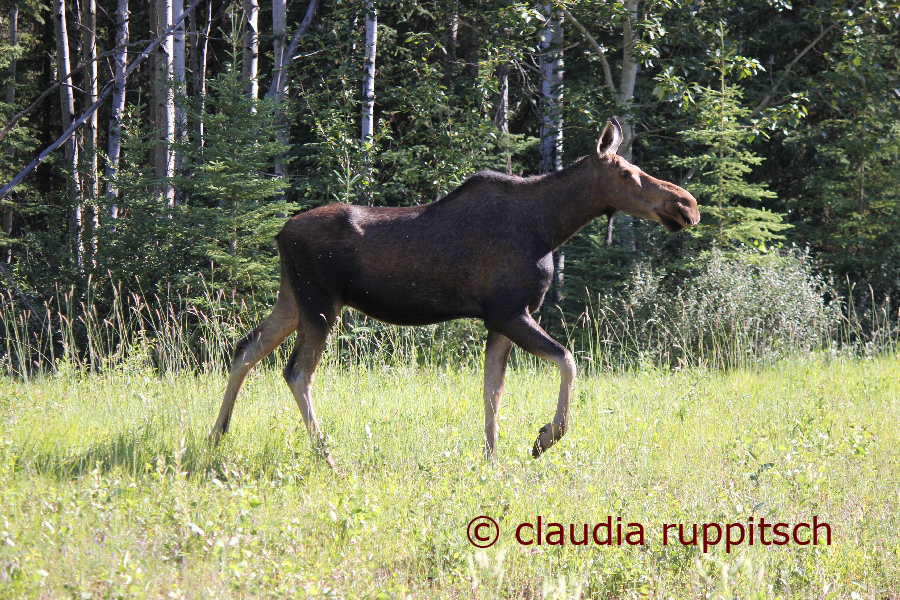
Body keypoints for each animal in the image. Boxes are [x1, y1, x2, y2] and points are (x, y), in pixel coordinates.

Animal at [213, 117, 704, 464]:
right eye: (625, 173)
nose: (687, 204)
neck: (548, 229)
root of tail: (279, 234)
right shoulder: (509, 311)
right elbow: (567, 360)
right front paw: (545, 437)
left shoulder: (501, 318)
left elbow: (493, 392)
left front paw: (491, 461)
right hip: (320, 303)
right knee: (296, 371)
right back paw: (326, 455)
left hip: (294, 299)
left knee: (245, 348)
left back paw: (216, 435)